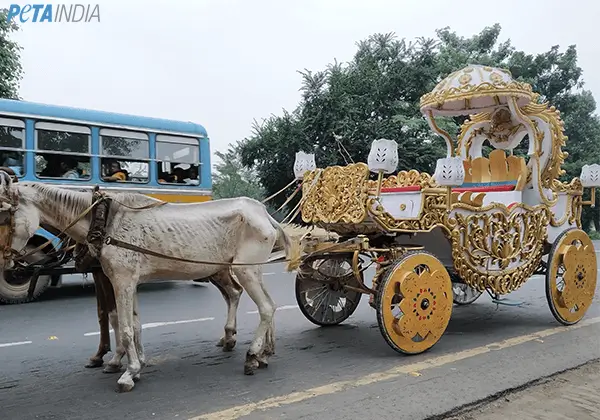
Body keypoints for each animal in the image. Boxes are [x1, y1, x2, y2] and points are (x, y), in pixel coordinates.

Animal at [0, 171, 300, 390]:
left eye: (5, 215)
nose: (7, 262)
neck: (106, 222)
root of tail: (263, 213)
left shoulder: (120, 280)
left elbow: (123, 326)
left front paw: (127, 372)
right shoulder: (127, 281)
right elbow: (132, 323)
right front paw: (137, 363)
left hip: (244, 270)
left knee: (264, 307)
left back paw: (252, 356)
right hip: (248, 269)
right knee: (264, 304)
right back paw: (264, 353)